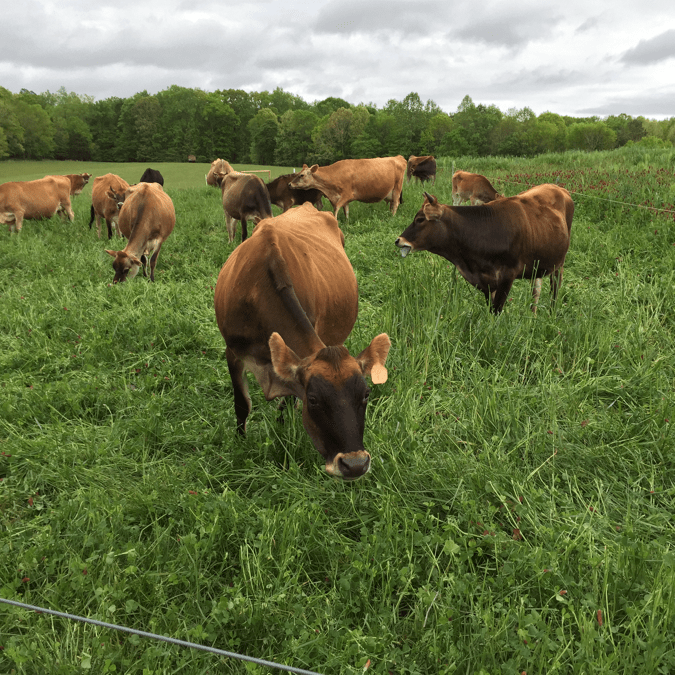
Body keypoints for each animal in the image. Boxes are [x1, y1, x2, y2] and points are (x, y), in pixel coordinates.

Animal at [214, 202, 391, 480]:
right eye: (315, 399)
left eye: (366, 394)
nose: (355, 464)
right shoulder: (233, 351)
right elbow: (241, 404)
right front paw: (240, 442)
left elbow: (286, 402)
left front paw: (283, 430)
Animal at [395, 185, 574, 314]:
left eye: (420, 219)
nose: (398, 240)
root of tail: (560, 189)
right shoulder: (487, 282)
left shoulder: (507, 275)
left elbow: (496, 310)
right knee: (536, 290)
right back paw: (532, 316)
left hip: (560, 262)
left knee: (555, 288)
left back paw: (551, 314)